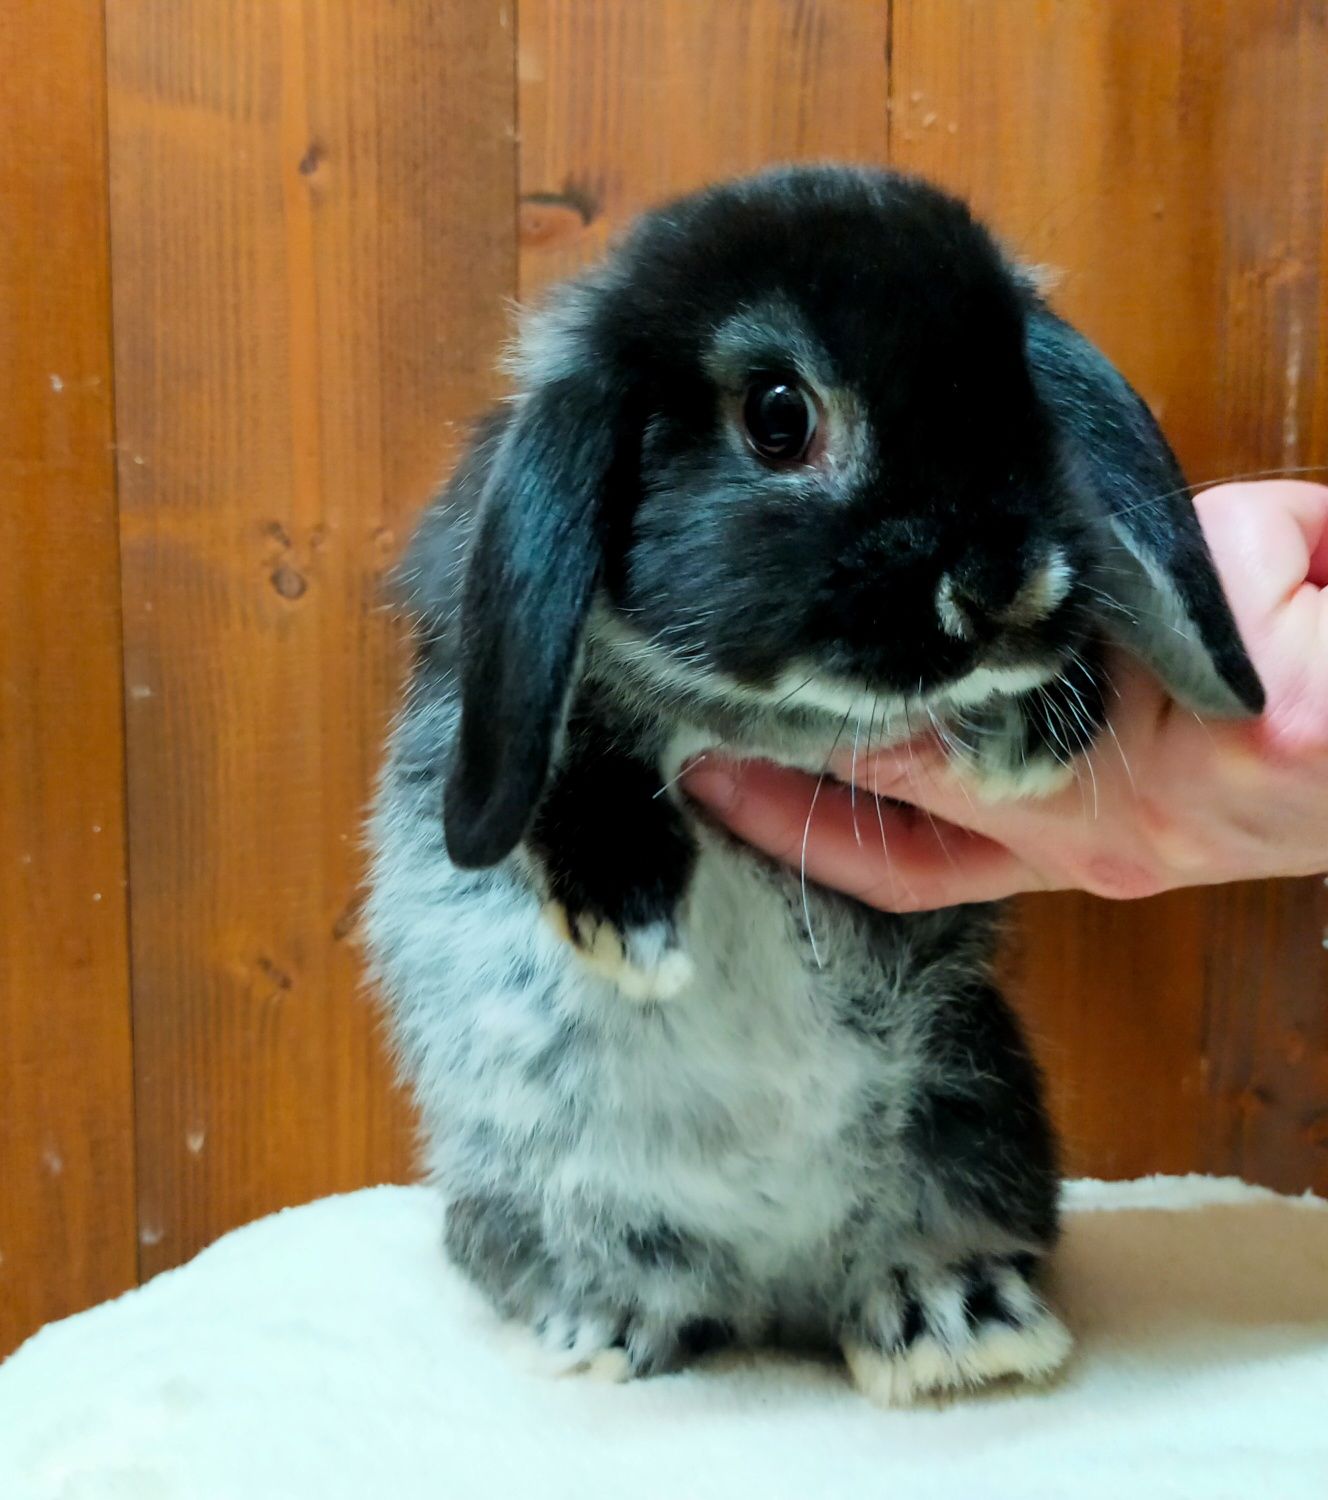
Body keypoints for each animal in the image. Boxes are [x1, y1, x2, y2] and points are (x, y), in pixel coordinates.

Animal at [364, 167, 1266, 1404]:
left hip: (971, 1104)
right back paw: (602, 1325)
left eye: (1018, 398)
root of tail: (769, 1277)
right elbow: (578, 751)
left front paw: (1041, 722)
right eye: (779, 417)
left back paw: (952, 1321)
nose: (1007, 585)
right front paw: (626, 926)